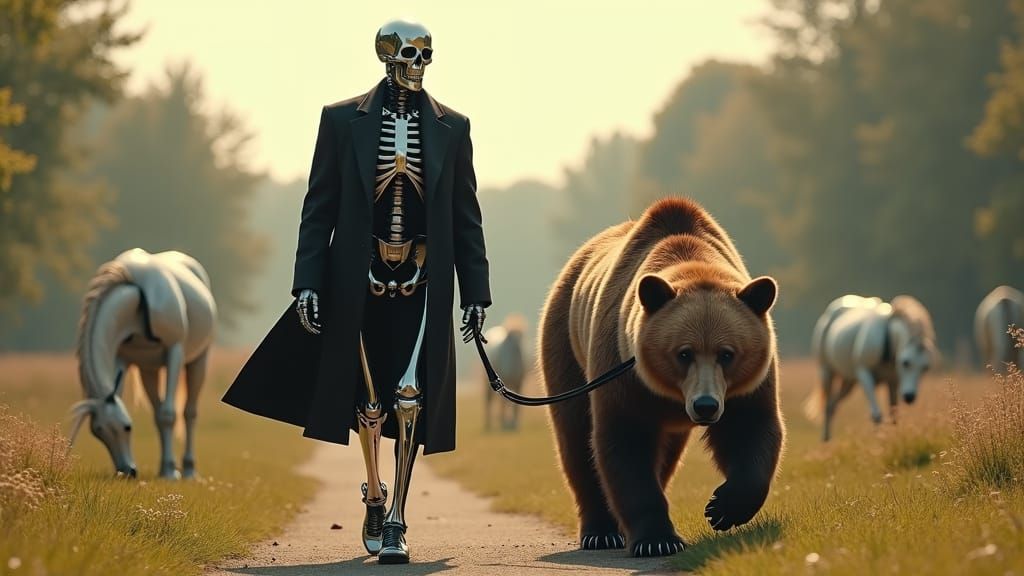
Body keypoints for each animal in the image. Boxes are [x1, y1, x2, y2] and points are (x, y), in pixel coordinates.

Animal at [538, 197, 784, 557]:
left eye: (727, 353)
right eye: (683, 353)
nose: (706, 406)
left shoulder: (747, 384)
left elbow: (750, 428)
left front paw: (721, 509)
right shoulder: (622, 371)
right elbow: (625, 442)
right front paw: (657, 540)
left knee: (665, 454)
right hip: (566, 344)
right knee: (575, 437)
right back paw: (601, 532)